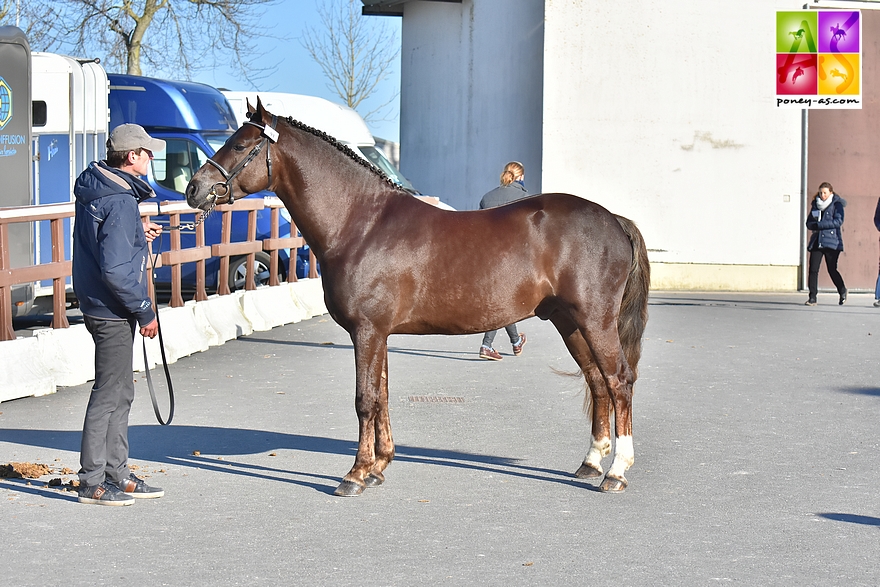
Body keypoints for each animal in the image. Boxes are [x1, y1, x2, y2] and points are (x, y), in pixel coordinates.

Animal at [186, 100, 648, 496]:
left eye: (240, 144)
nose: (194, 188)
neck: (361, 223)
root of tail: (613, 219)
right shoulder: (378, 334)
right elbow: (382, 396)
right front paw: (378, 467)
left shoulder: (367, 331)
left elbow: (364, 400)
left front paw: (354, 474)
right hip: (570, 322)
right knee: (598, 383)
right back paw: (590, 463)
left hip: (594, 321)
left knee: (619, 381)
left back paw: (617, 473)